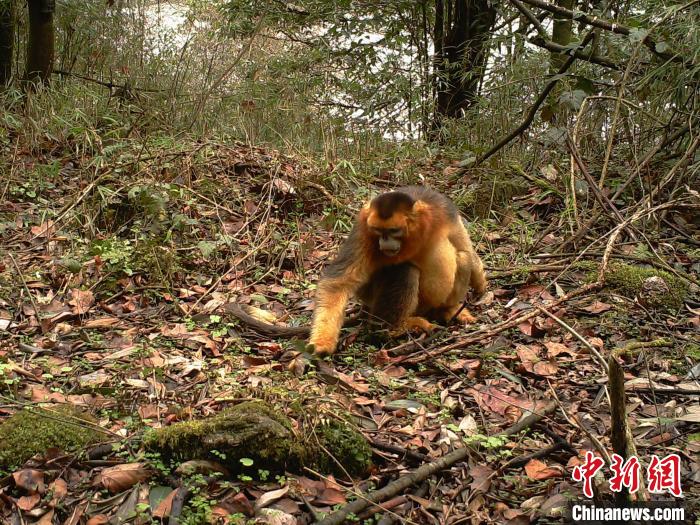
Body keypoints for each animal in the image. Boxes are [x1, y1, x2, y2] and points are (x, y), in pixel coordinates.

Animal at [307, 186, 486, 355]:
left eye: (393, 231)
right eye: (378, 231)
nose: (384, 241)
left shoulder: (443, 210)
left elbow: (466, 249)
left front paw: (480, 284)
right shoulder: (363, 227)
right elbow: (337, 282)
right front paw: (322, 343)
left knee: (464, 257)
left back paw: (447, 309)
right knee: (406, 270)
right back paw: (395, 329)